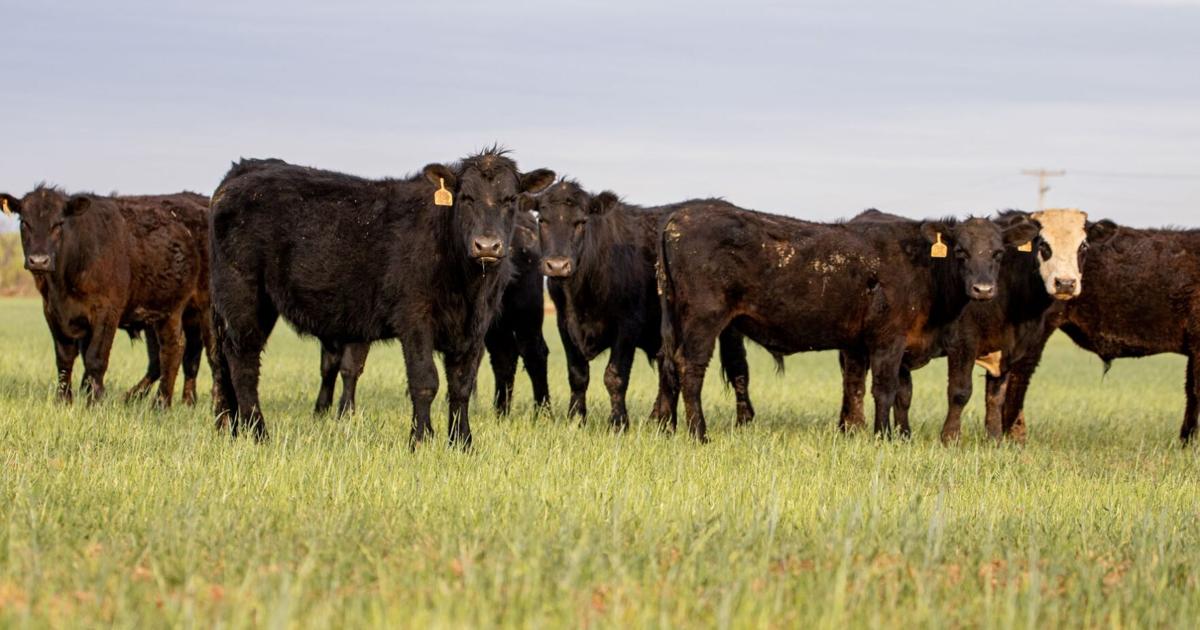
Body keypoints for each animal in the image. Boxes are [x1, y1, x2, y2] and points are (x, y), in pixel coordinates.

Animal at [0, 186, 218, 407]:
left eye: (59, 224)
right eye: (24, 222)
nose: (38, 260)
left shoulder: (106, 312)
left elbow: (95, 358)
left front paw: (94, 402)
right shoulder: (53, 313)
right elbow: (65, 359)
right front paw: (64, 400)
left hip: (204, 309)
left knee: (204, 352)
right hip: (167, 309)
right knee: (176, 351)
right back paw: (167, 403)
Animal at [311, 209, 551, 416]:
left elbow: (350, 368)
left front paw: (344, 414)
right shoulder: (331, 331)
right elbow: (328, 366)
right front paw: (321, 410)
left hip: (524, 313)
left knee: (533, 352)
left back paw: (542, 412)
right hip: (494, 325)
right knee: (504, 357)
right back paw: (500, 411)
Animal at [528, 179, 757, 431]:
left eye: (581, 221)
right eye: (542, 220)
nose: (557, 265)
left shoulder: (627, 325)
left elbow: (615, 376)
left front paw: (618, 423)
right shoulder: (565, 324)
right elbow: (578, 375)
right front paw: (576, 420)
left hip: (728, 327)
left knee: (737, 366)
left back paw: (744, 421)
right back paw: (659, 421)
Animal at [656, 205, 1035, 442]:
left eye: (998, 253)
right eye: (960, 252)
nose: (983, 289)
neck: (925, 269)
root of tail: (677, 219)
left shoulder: (883, 345)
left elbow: (889, 393)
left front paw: (898, 435)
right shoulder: (888, 339)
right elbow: (885, 390)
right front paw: (884, 436)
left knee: (669, 365)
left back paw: (669, 428)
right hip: (703, 320)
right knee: (690, 368)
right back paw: (699, 433)